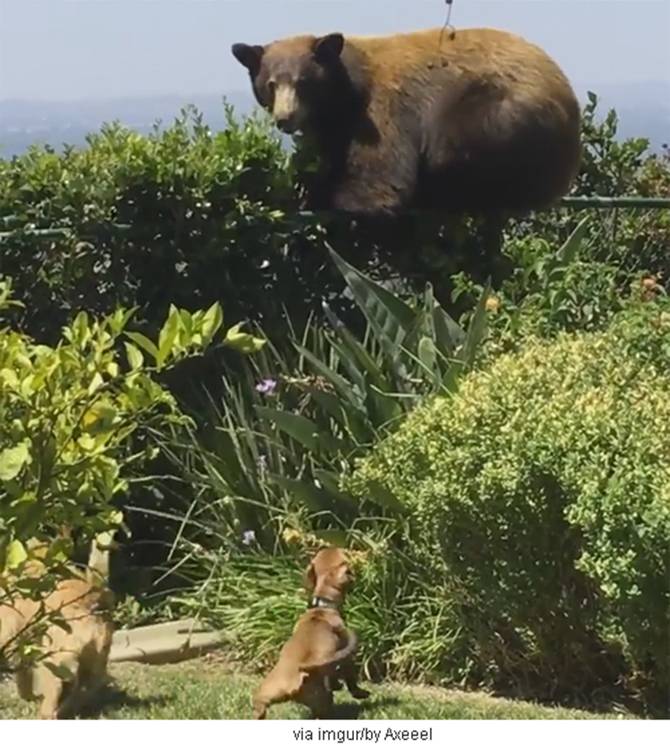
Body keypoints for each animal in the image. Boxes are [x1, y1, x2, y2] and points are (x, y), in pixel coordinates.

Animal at [235, 29, 584, 215]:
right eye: (271, 84)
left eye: (304, 83)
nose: (285, 118)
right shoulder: (337, 127)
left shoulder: (379, 112)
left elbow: (379, 180)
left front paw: (323, 196)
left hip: (505, 115)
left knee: (454, 151)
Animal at [252, 548, 370, 720]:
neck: (322, 606)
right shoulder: (345, 657)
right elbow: (350, 677)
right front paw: (358, 692)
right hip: (322, 698)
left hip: (267, 694)